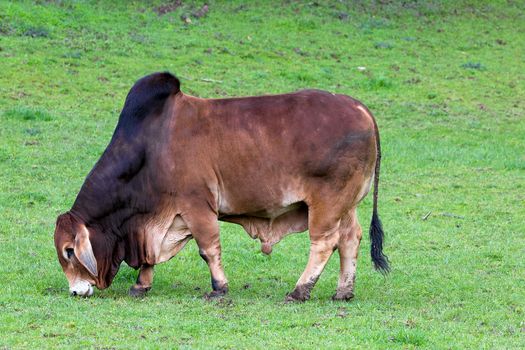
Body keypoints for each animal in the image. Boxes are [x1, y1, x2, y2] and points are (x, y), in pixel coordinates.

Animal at [54, 72, 388, 300]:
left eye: (69, 251)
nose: (76, 291)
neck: (149, 148)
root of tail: (359, 107)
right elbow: (150, 259)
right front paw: (141, 285)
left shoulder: (196, 205)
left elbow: (208, 248)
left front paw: (218, 288)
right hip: (347, 205)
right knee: (350, 238)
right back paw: (343, 292)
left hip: (326, 203)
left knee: (324, 243)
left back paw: (299, 290)